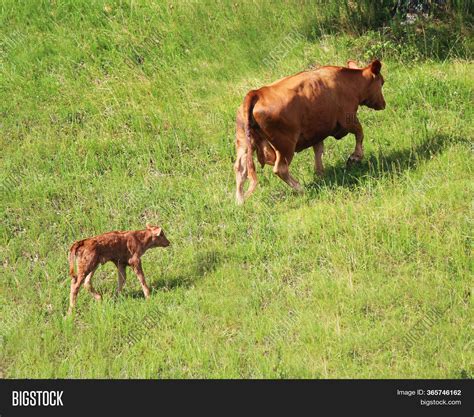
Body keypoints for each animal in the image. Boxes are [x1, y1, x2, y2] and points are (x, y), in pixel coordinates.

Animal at [233, 59, 386, 202]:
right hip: (285, 144)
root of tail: (257, 93)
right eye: (382, 82)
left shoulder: (316, 131)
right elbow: (360, 133)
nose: (384, 104)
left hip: (243, 143)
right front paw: (355, 157)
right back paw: (301, 189)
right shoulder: (347, 119)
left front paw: (320, 174)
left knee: (240, 168)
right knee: (280, 168)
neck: (348, 82)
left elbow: (318, 150)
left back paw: (240, 201)